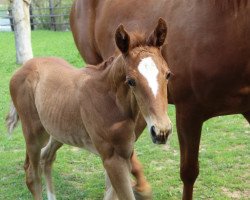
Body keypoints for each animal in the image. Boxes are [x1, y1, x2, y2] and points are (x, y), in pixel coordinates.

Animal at [7, 19, 172, 200]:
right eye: (131, 81)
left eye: (168, 74)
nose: (161, 131)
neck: (111, 102)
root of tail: (21, 68)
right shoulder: (112, 159)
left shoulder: (126, 154)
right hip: (34, 134)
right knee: (32, 175)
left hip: (58, 132)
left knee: (47, 158)